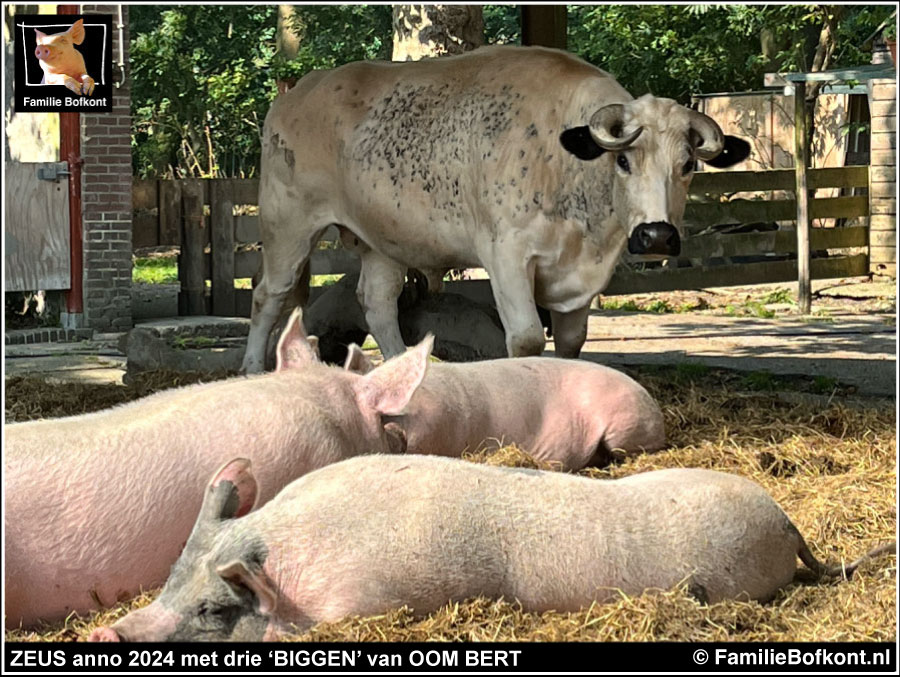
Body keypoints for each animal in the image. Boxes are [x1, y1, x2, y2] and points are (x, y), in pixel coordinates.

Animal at [243, 46, 748, 374]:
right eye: (622, 161)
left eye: (688, 165)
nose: (657, 235)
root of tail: (293, 95)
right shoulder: (507, 254)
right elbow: (525, 338)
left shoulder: (581, 278)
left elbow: (571, 342)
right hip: (288, 225)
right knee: (269, 294)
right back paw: (251, 367)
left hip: (381, 241)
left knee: (378, 303)